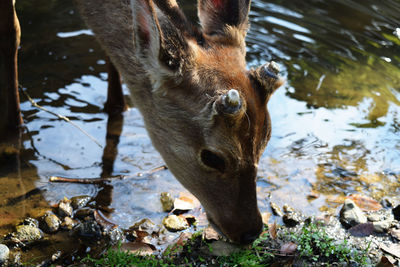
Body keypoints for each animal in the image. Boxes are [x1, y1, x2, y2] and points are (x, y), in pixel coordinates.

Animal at [0, 0, 284, 246]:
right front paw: (12, 138)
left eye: (264, 142)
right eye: (212, 157)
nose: (249, 231)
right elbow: (12, 31)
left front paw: (117, 107)